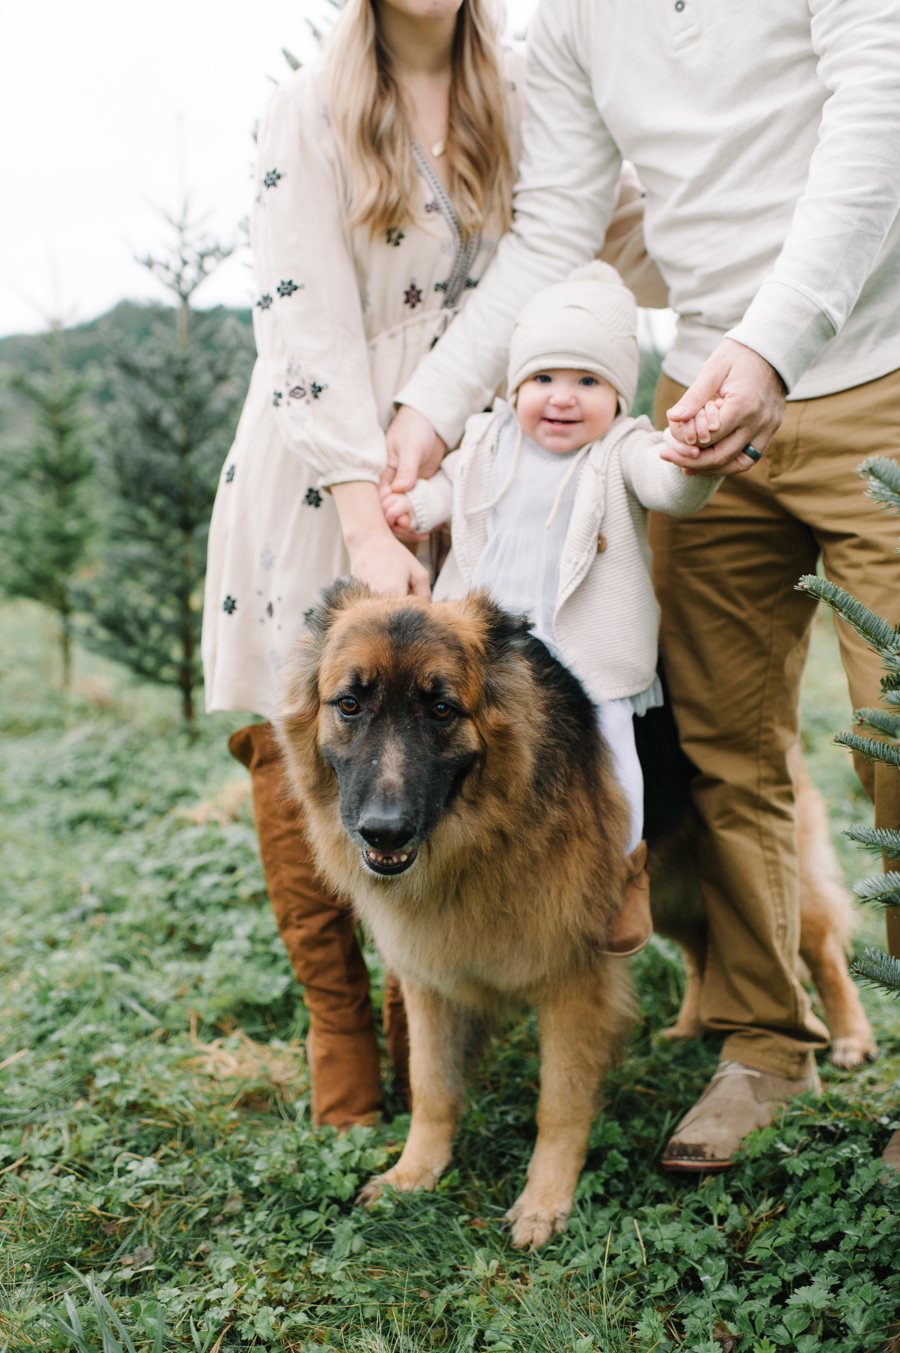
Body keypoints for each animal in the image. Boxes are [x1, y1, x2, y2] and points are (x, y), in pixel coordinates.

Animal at [277, 581, 871, 1244]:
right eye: (350, 704)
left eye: (442, 710)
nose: (384, 831)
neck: (483, 837)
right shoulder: (430, 980)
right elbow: (432, 1088)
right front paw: (415, 1173)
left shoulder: (574, 983)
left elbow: (557, 1104)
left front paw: (544, 1201)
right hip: (659, 894)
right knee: (700, 948)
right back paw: (689, 1025)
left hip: (760, 874)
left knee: (821, 949)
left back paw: (851, 1037)